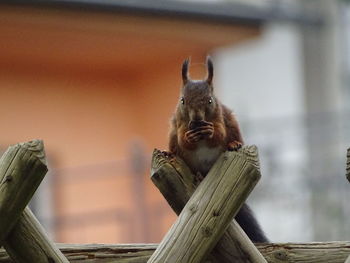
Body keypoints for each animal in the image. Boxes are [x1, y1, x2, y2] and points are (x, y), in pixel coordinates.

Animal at [167, 57, 268, 243]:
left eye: (210, 100)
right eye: (182, 100)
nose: (196, 119)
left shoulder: (220, 116)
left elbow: (219, 134)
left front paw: (211, 132)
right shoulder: (179, 123)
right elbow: (183, 141)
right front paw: (189, 138)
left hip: (232, 123)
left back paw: (234, 144)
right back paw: (192, 171)